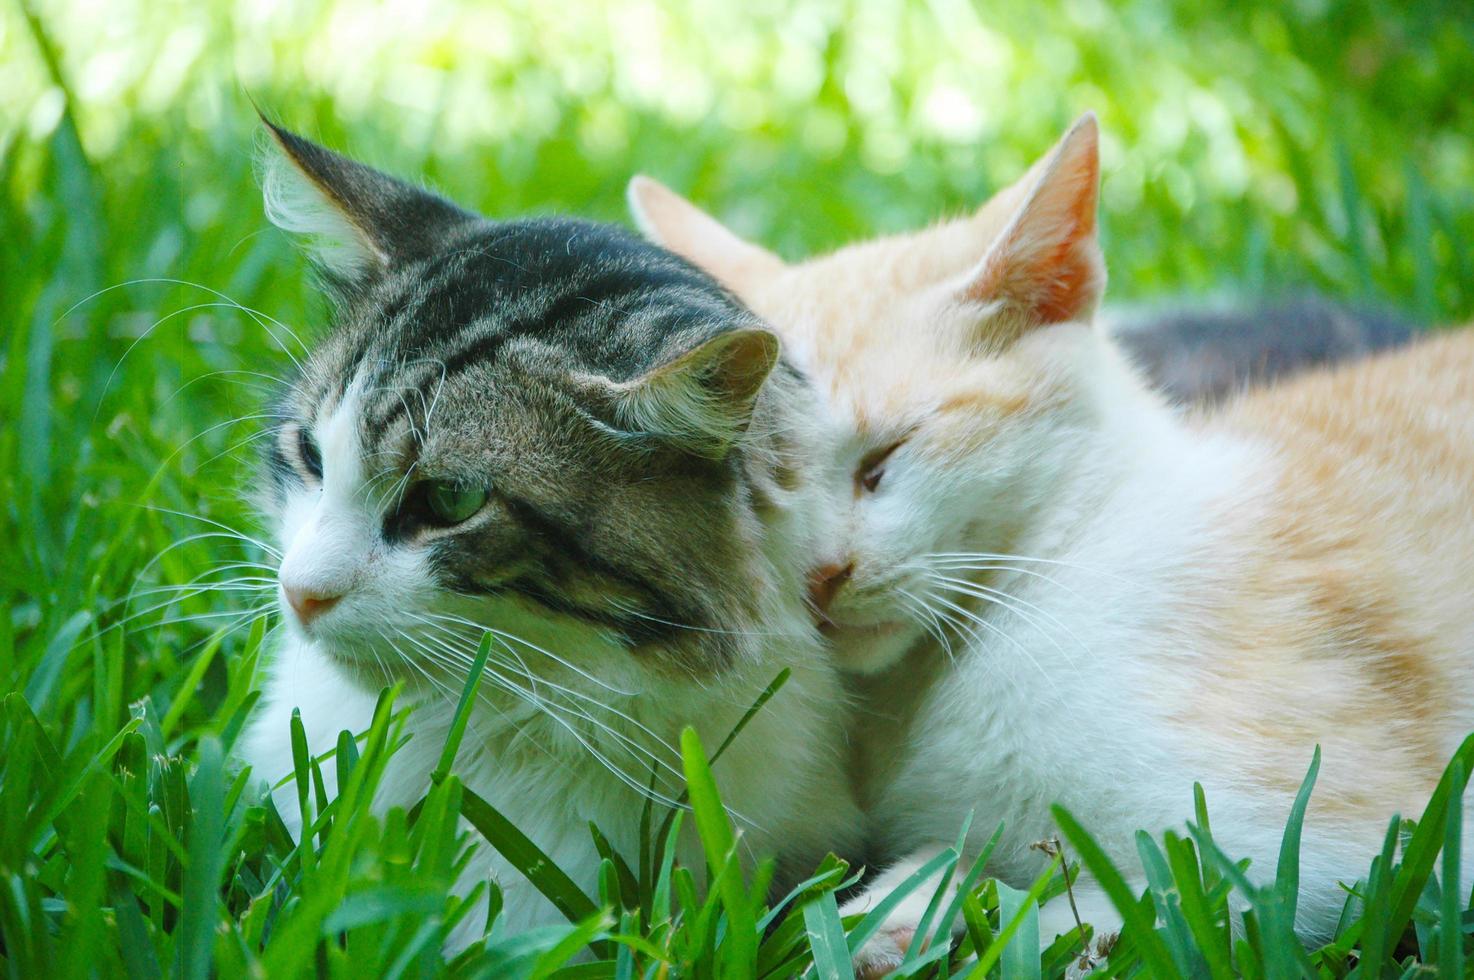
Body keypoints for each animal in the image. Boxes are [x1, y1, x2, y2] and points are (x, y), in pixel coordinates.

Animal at [627, 114, 1474, 972]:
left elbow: (1120, 907)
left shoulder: (1334, 848)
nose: (819, 577)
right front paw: (901, 907)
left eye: (884, 460)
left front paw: (920, 919)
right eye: (758, 483)